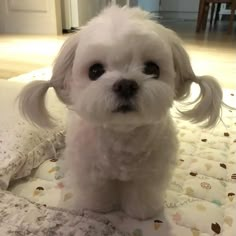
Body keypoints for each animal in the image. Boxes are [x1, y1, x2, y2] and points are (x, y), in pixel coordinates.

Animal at [18, 5, 221, 219]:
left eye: (152, 69)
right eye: (95, 71)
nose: (125, 85)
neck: (122, 135)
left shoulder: (149, 174)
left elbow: (142, 194)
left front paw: (143, 212)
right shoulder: (92, 172)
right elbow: (97, 192)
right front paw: (99, 208)